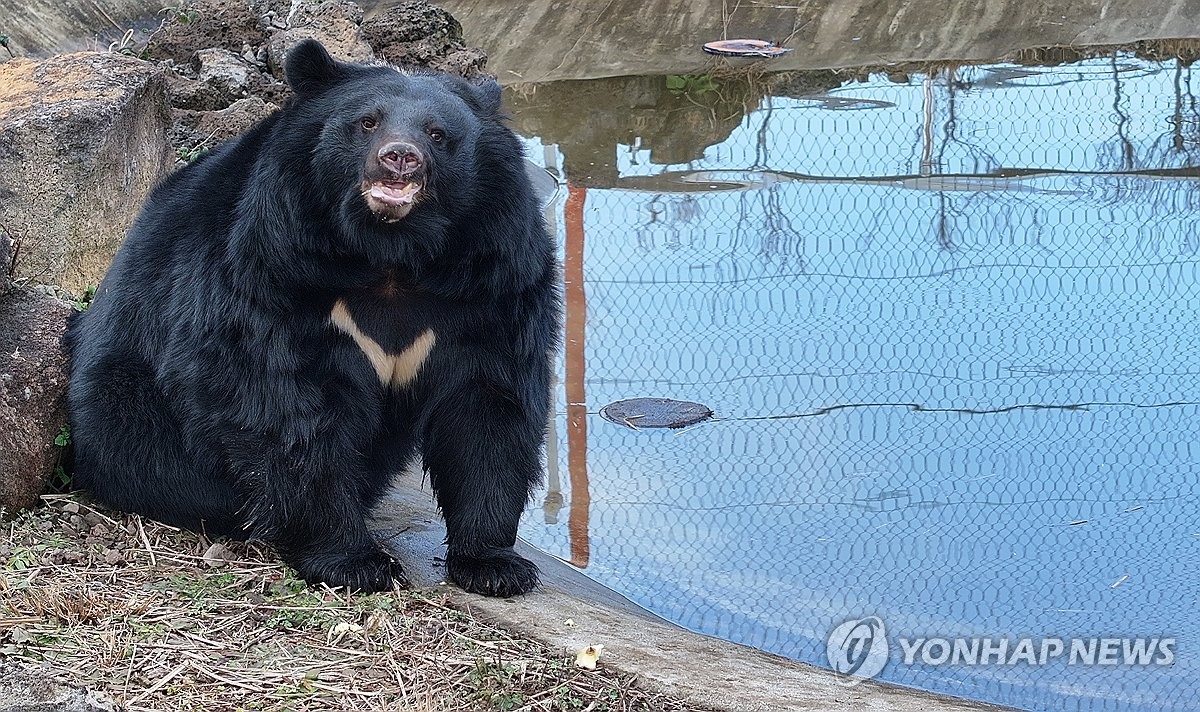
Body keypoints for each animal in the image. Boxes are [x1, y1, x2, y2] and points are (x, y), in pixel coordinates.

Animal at [69, 37, 561, 593]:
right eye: (367, 122)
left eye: (438, 134)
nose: (400, 158)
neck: (390, 251)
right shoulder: (273, 262)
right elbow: (286, 405)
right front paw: (355, 561)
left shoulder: (493, 277)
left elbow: (487, 402)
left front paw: (495, 565)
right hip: (128, 405)